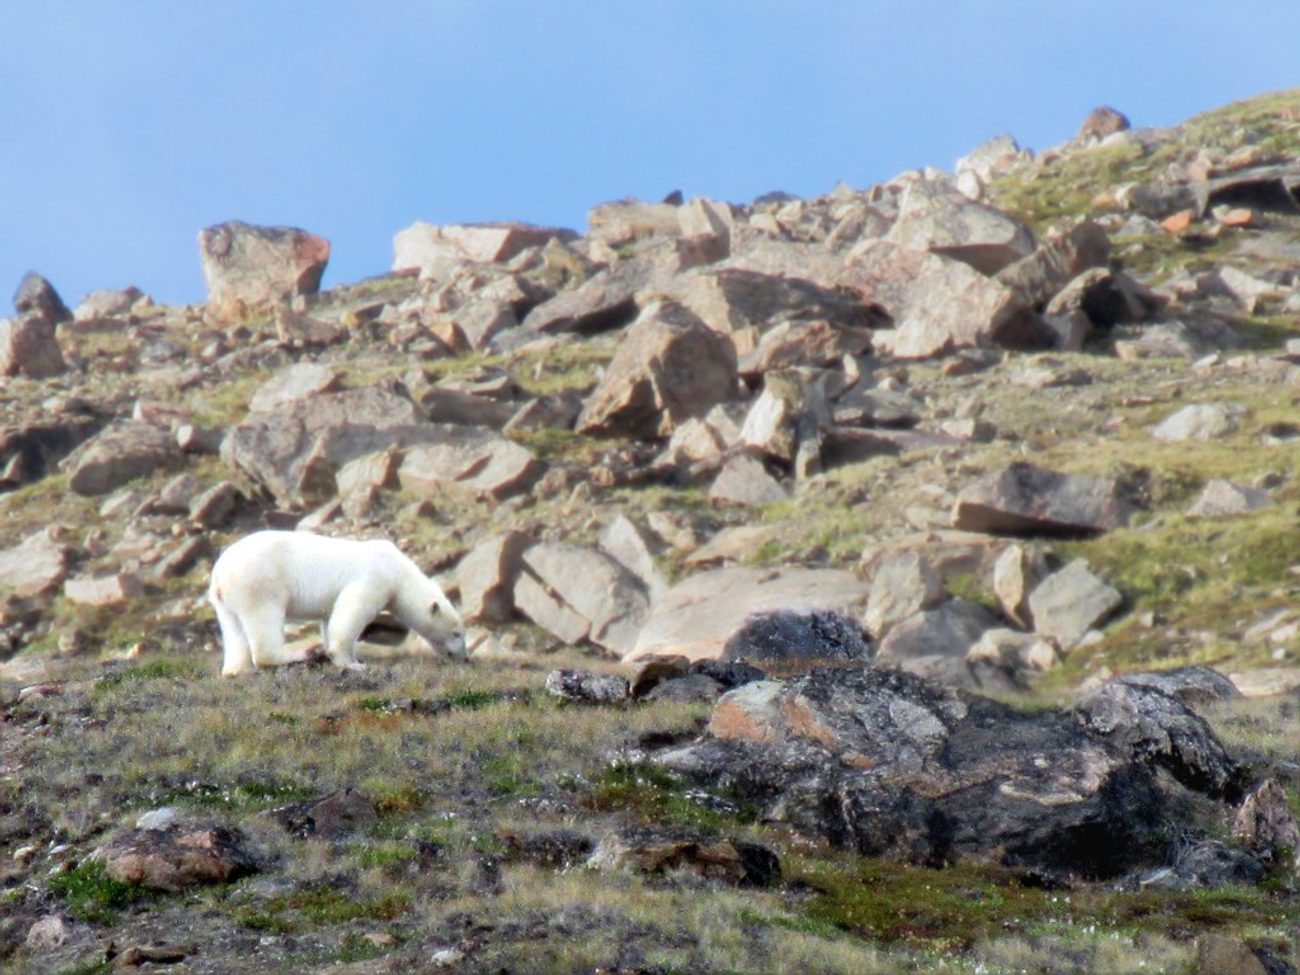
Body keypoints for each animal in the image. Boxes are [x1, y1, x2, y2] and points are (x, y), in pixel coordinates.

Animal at [208, 530, 464, 676]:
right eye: (457, 633)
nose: (464, 657)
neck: (398, 571)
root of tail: (220, 572)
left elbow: (331, 619)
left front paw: (350, 658)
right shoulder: (373, 578)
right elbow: (352, 613)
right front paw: (354, 665)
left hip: (225, 601)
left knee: (233, 630)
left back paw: (235, 670)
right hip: (259, 583)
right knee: (264, 621)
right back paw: (299, 655)